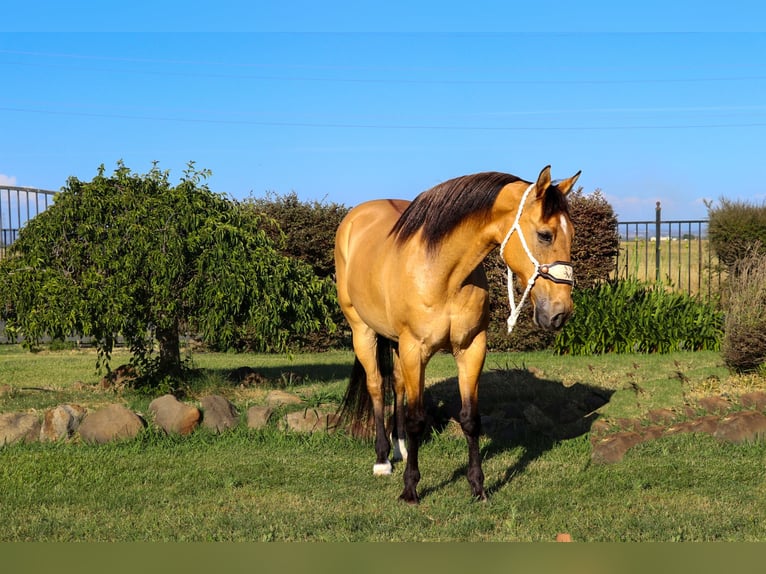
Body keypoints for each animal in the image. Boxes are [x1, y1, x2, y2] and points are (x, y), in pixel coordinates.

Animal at [336, 165, 584, 504]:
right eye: (545, 235)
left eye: (572, 234)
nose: (560, 312)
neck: (444, 273)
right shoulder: (416, 349)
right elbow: (416, 418)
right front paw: (410, 489)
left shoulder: (471, 348)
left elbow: (470, 418)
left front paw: (478, 486)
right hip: (362, 331)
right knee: (376, 387)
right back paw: (383, 460)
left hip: (397, 344)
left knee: (397, 386)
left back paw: (400, 448)